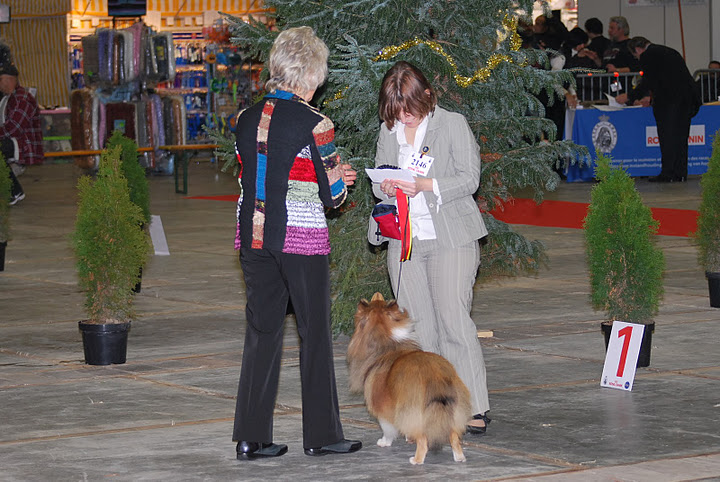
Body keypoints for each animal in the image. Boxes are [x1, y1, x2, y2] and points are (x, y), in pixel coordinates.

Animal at [344, 292, 470, 466]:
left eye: (378, 300)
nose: (377, 294)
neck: (385, 342)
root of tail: (434, 374)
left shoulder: (384, 408)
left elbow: (387, 428)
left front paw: (384, 442)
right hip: (449, 410)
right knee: (453, 435)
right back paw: (459, 457)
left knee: (423, 440)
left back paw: (416, 460)